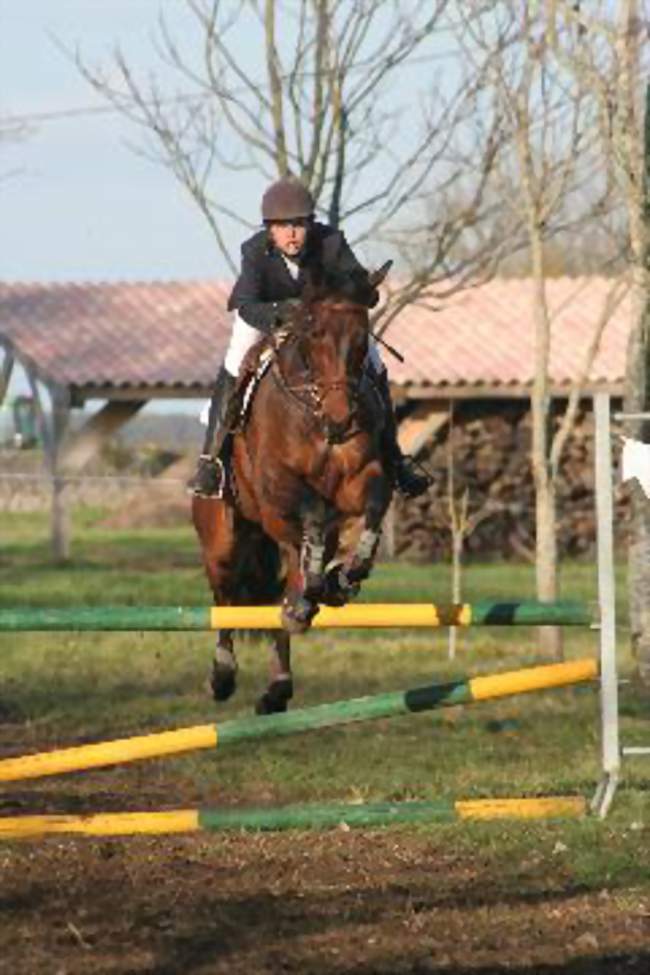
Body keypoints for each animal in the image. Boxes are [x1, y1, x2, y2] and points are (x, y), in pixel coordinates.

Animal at [187, 264, 390, 712]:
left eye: (362, 339)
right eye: (313, 334)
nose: (340, 422)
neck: (313, 410)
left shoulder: (359, 479)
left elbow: (374, 503)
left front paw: (347, 575)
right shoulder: (276, 489)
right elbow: (311, 510)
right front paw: (332, 577)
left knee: (286, 592)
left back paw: (282, 674)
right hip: (222, 538)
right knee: (226, 597)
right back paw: (222, 676)